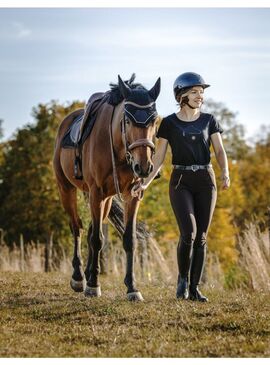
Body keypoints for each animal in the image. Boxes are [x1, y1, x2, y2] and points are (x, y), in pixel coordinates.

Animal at [52, 74, 160, 302]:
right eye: (127, 120)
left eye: (154, 120)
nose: (144, 166)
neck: (118, 146)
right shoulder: (96, 192)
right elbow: (96, 239)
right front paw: (93, 285)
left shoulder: (131, 196)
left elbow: (129, 239)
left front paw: (132, 287)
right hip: (66, 189)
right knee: (77, 227)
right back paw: (79, 278)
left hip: (107, 199)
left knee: (91, 228)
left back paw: (87, 273)